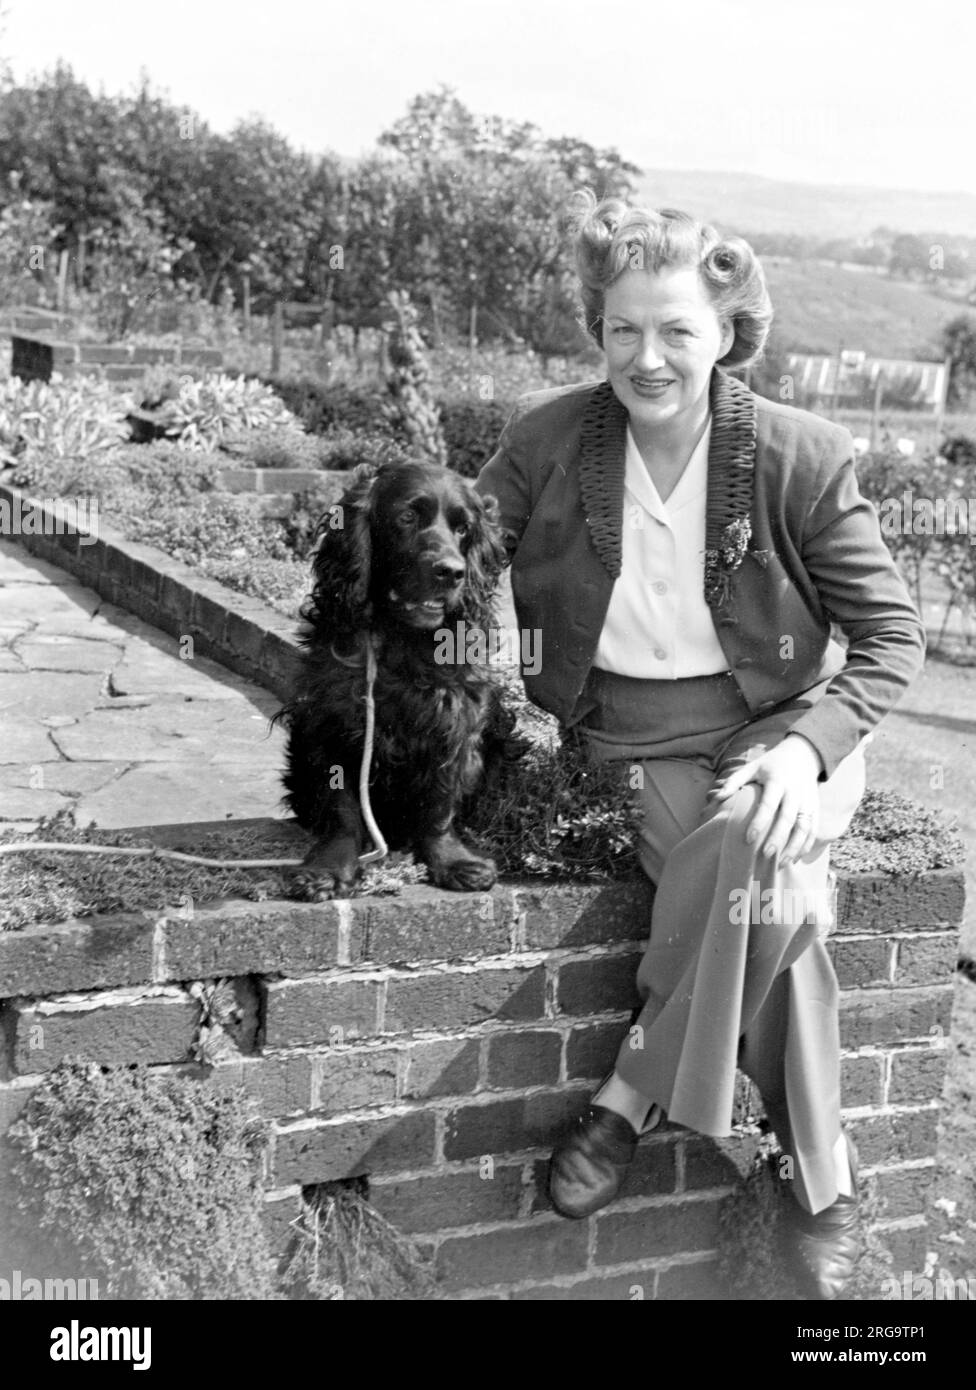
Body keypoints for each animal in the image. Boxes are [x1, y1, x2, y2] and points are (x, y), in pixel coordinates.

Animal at [279, 458, 517, 900]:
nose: (452, 572)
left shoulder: (456, 718)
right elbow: (342, 806)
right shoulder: (333, 721)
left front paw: (451, 860)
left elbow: (440, 802)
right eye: (407, 517)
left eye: (463, 528)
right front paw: (328, 869)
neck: (400, 638)